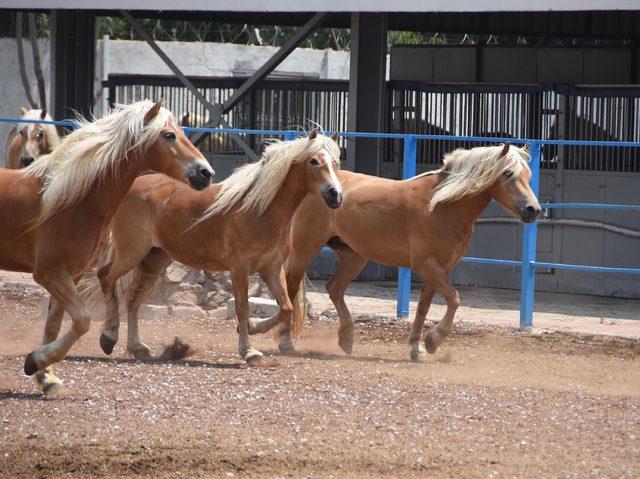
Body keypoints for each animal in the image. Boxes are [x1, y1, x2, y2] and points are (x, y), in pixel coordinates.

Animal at [0, 98, 215, 394]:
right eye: (169, 135)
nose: (205, 173)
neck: (66, 199)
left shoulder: (71, 274)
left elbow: (54, 326)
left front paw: (47, 376)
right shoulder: (48, 273)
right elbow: (82, 320)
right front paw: (36, 361)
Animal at [87, 129, 342, 366]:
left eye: (336, 162)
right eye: (314, 161)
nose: (335, 194)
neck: (259, 209)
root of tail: (132, 186)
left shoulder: (271, 268)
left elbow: (286, 308)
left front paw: (254, 327)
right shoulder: (239, 267)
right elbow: (242, 307)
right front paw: (249, 351)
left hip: (154, 260)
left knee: (133, 298)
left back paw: (138, 347)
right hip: (131, 253)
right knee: (106, 277)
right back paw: (108, 337)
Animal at [249, 142, 540, 360]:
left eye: (528, 175)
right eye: (508, 174)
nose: (533, 210)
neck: (440, 205)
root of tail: (322, 187)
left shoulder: (438, 269)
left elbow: (423, 307)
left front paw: (416, 348)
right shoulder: (426, 265)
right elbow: (454, 299)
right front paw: (432, 341)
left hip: (354, 255)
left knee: (334, 288)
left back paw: (347, 339)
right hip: (305, 249)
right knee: (292, 287)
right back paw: (286, 342)